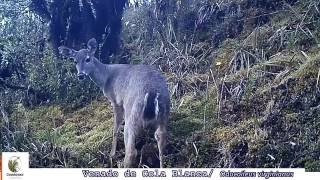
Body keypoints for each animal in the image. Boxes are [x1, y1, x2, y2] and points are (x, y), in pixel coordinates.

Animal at [59, 37, 171, 167]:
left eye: (88, 59)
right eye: (75, 61)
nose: (80, 75)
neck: (106, 77)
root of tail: (152, 92)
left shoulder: (116, 100)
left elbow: (115, 127)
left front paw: (112, 154)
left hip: (132, 112)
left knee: (131, 151)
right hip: (164, 112)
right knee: (161, 138)